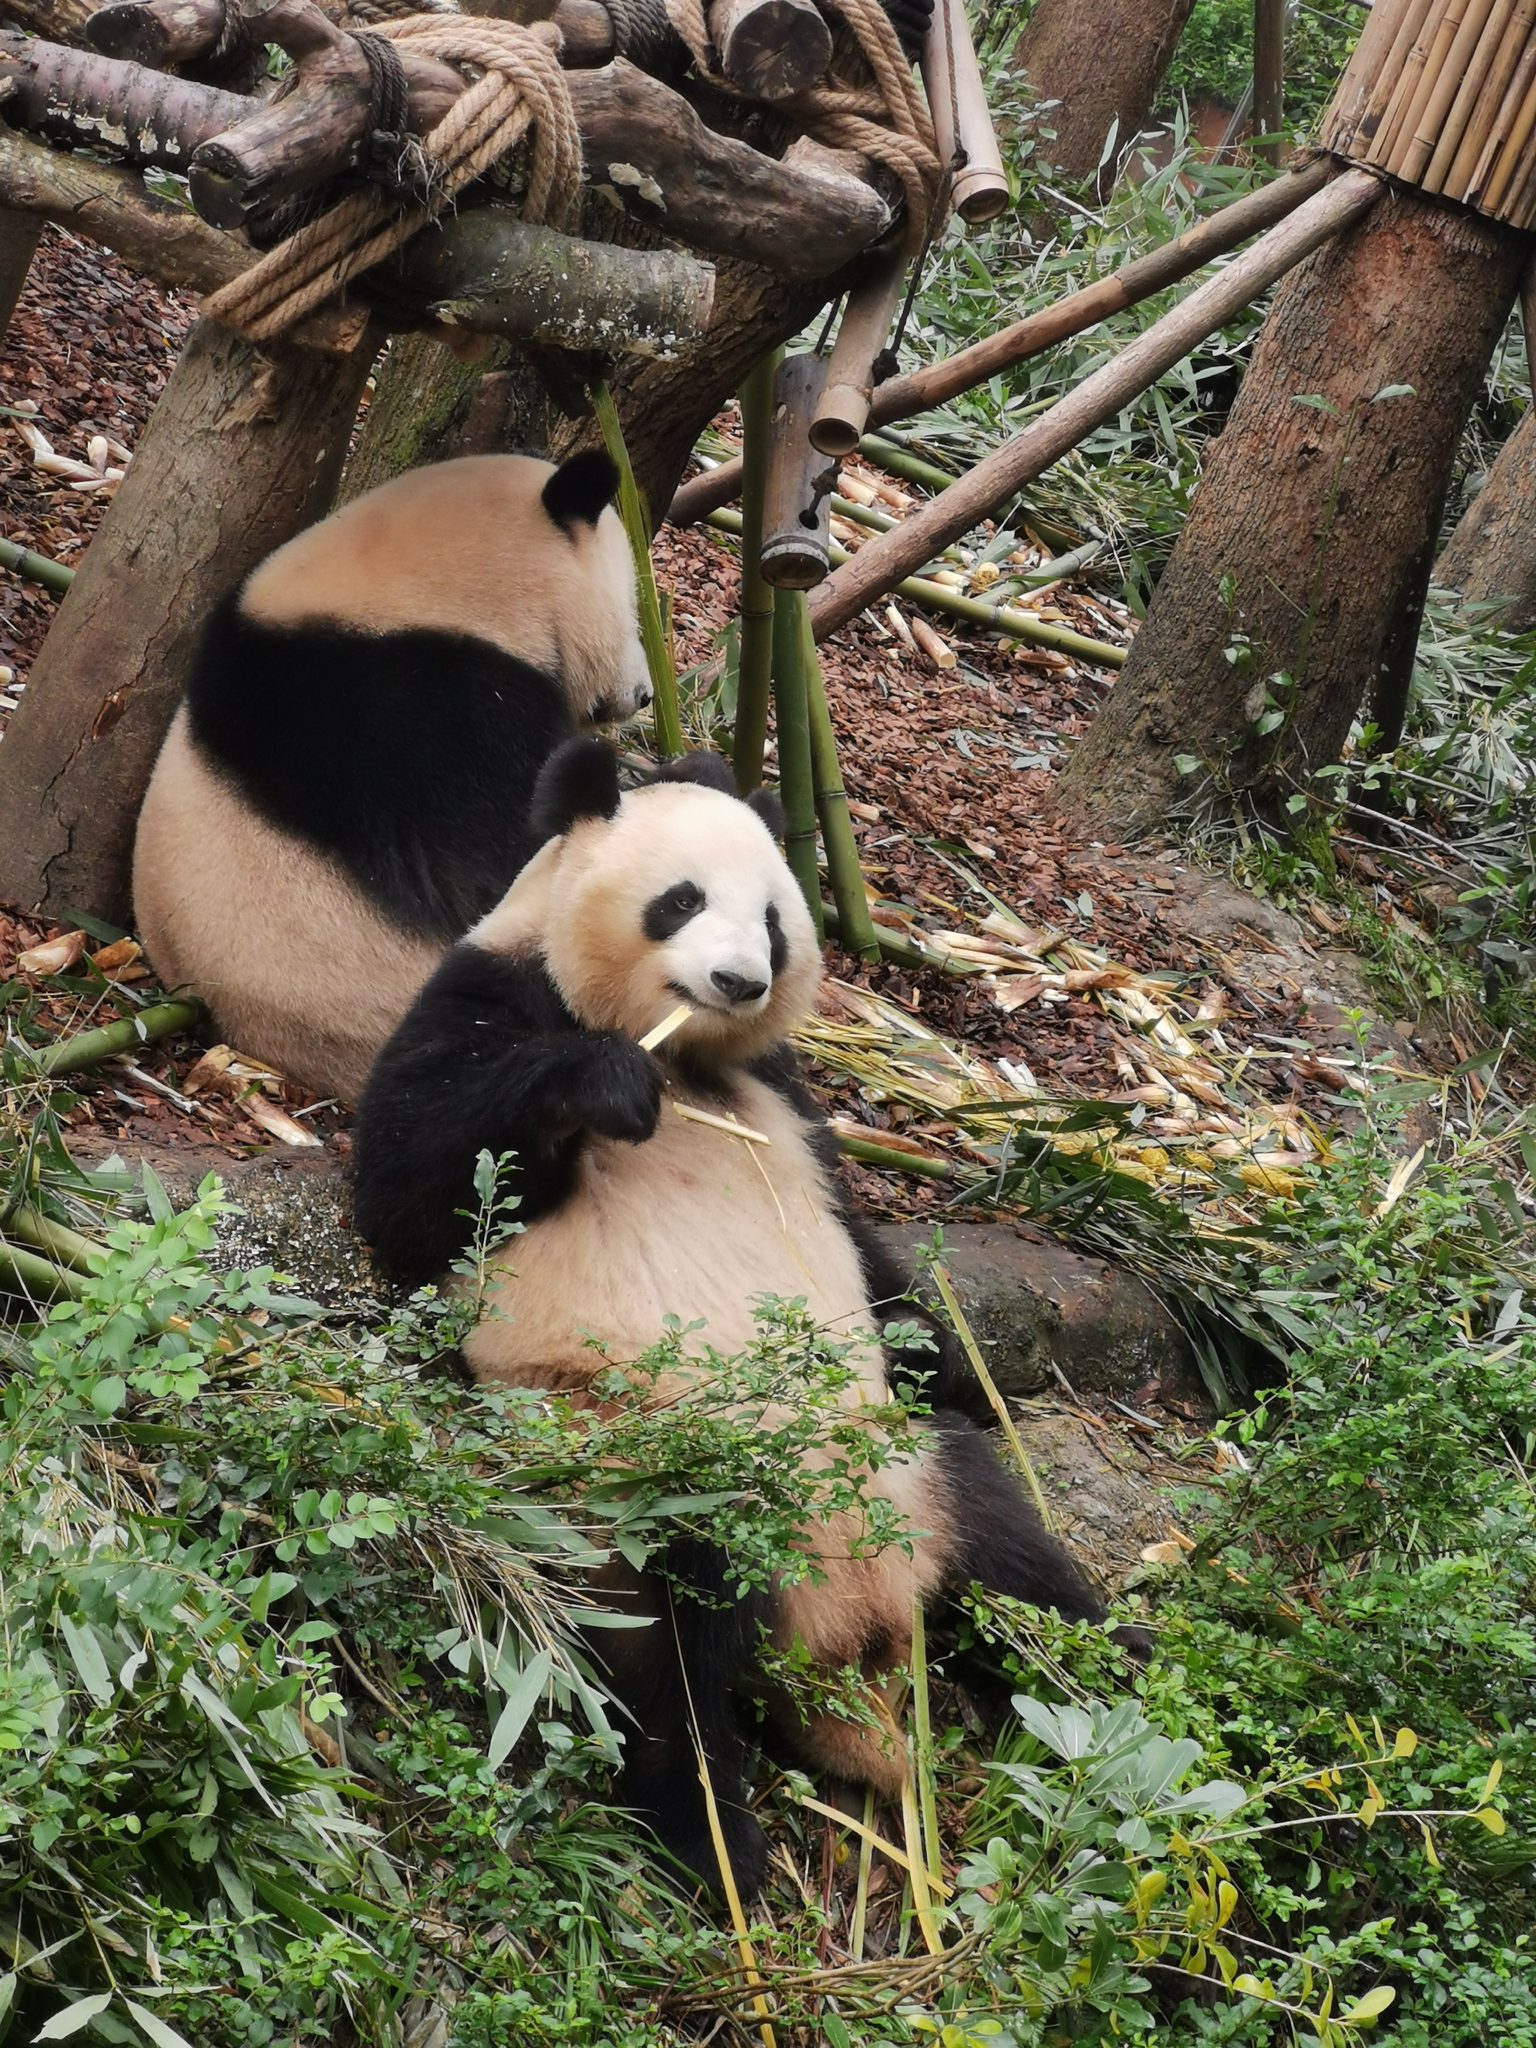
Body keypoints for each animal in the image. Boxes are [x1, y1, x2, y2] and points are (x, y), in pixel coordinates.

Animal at [356, 745, 1122, 1892]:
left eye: (772, 920)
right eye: (679, 901)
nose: (740, 982)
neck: (690, 1058)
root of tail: (845, 1643)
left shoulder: (788, 1098)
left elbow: (867, 1247)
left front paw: (942, 1352)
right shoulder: (479, 997)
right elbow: (415, 1186)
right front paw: (601, 1088)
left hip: (914, 1470)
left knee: (1018, 1567)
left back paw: (1127, 1697)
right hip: (628, 1477)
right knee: (662, 1642)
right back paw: (711, 1838)